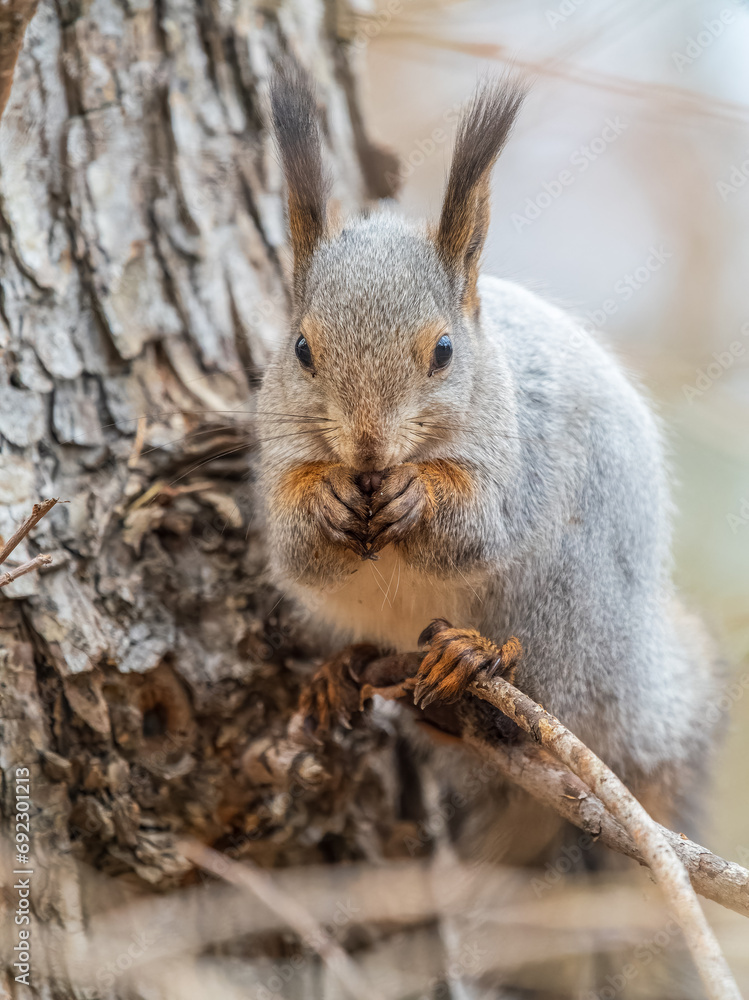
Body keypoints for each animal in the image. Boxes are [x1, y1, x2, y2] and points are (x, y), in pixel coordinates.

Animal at [258, 66, 719, 842]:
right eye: (300, 350)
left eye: (444, 351)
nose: (368, 448)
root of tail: (637, 696)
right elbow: (296, 546)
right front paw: (323, 497)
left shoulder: (521, 455)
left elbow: (477, 529)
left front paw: (419, 494)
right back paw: (345, 670)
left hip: (566, 604)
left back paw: (471, 658)